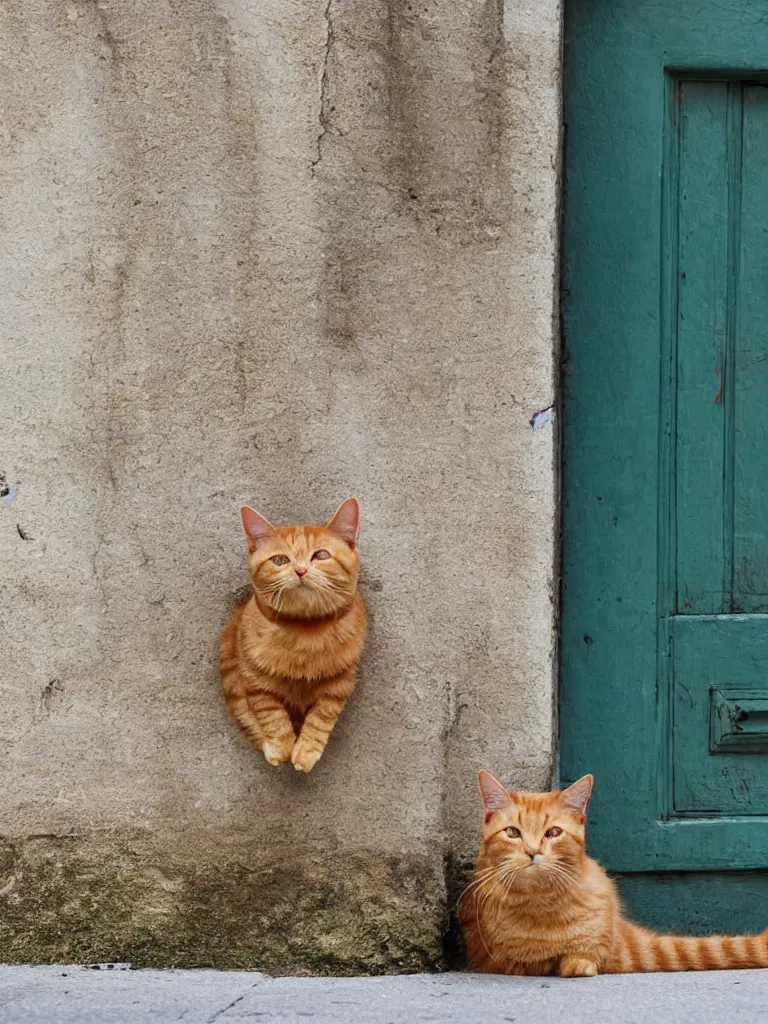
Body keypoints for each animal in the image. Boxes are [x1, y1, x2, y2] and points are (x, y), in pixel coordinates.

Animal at [219, 499, 370, 770]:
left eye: (321, 555)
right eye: (280, 560)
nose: (300, 570)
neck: (304, 631)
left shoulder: (340, 684)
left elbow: (322, 716)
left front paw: (306, 750)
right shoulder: (252, 678)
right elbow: (270, 713)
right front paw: (280, 746)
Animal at [460, 770, 768, 978]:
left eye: (553, 833)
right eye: (513, 833)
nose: (533, 851)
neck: (541, 903)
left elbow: (581, 957)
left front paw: (576, 963)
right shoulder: (500, 959)